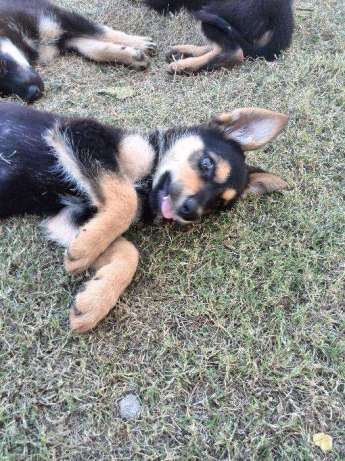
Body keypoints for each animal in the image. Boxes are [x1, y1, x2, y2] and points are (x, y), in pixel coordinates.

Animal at [0, 0, 156, 101]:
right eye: (3, 93)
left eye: (2, 66)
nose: (33, 94)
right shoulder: (69, 41)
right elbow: (96, 51)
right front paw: (132, 56)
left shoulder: (60, 18)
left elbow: (103, 32)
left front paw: (139, 42)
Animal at [0, 101, 288, 330]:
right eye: (207, 163)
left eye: (218, 204)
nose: (190, 211)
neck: (147, 185)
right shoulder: (80, 132)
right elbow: (125, 200)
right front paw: (87, 250)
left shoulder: (67, 216)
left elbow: (128, 252)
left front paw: (94, 296)